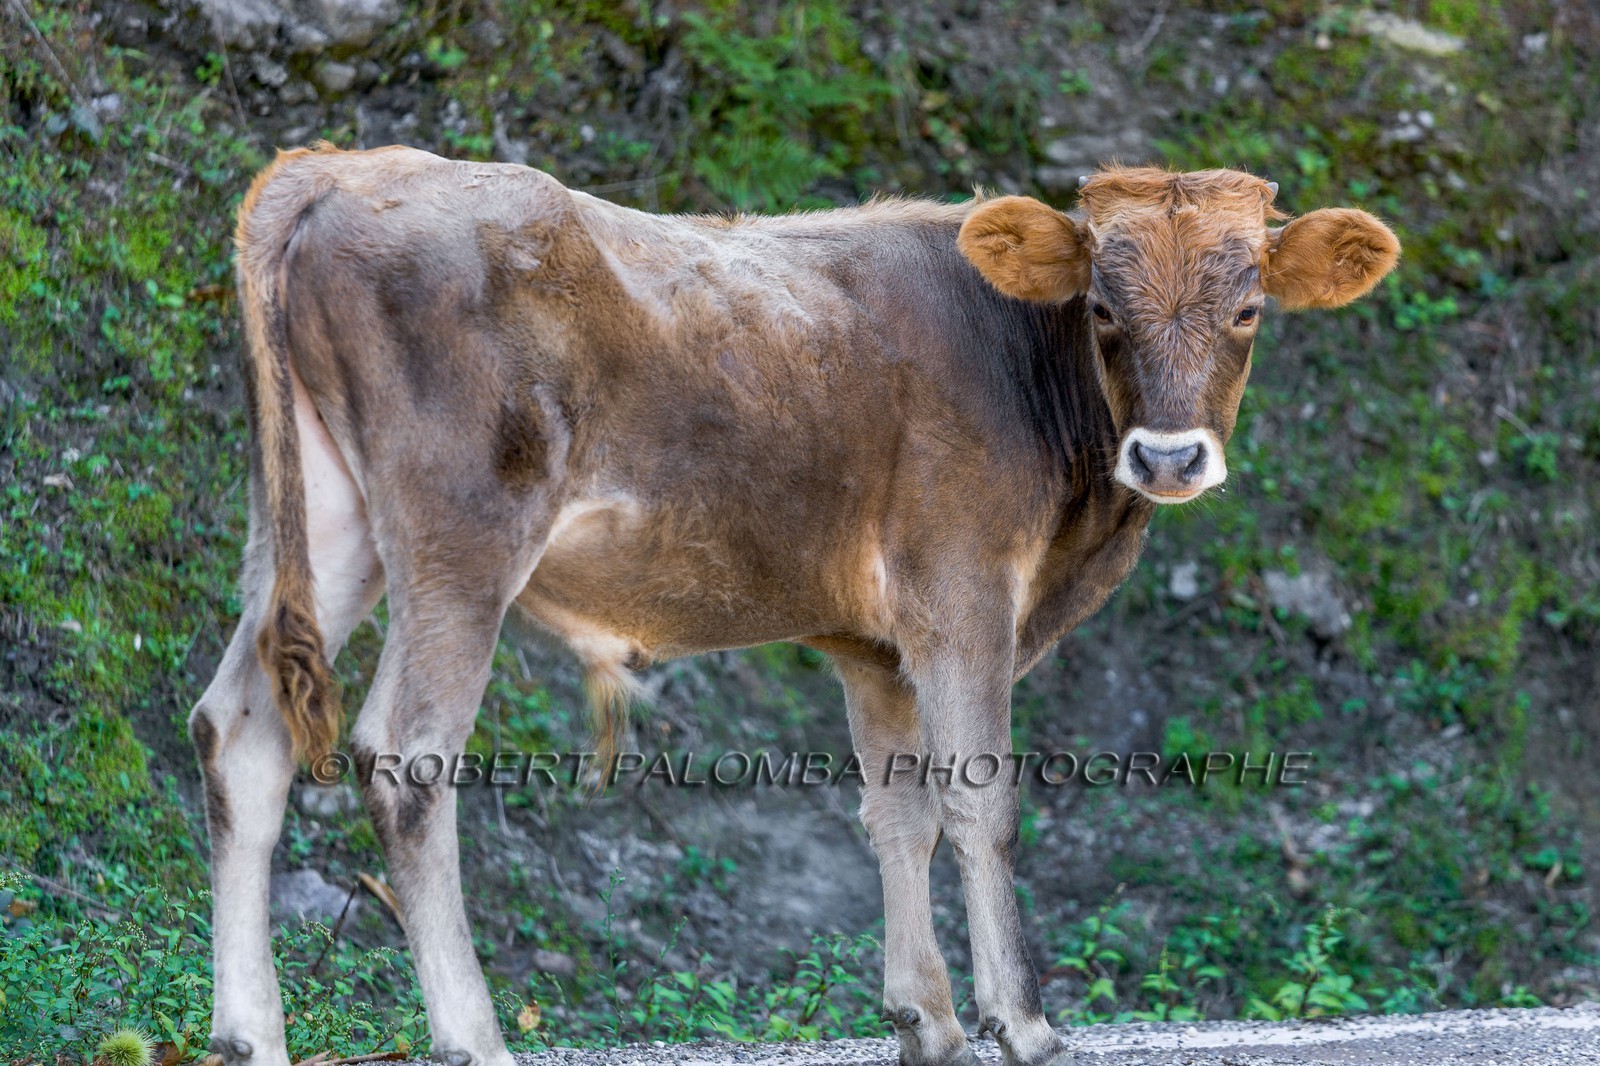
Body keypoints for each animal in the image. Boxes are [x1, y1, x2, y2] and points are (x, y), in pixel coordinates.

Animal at [189, 144, 1398, 1066]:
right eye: (1101, 304)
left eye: (1248, 308)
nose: (1170, 455)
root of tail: (340, 169)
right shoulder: (963, 592)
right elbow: (982, 800)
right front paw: (1022, 1024)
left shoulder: (873, 644)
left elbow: (899, 813)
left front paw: (927, 1021)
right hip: (462, 533)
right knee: (407, 754)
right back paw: (474, 1038)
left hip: (326, 524)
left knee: (238, 732)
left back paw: (250, 1036)